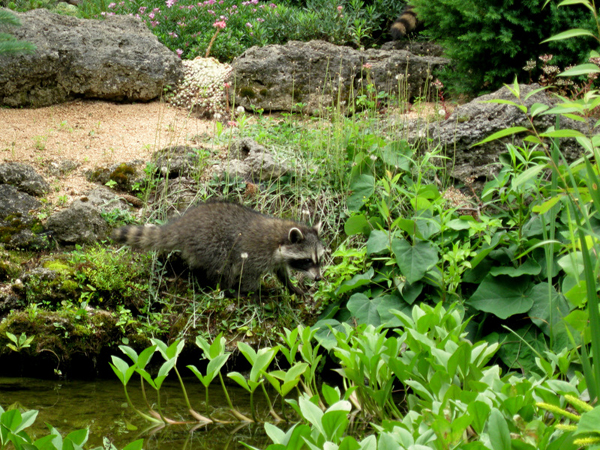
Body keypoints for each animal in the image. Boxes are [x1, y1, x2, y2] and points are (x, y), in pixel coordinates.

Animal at [112, 201, 328, 296]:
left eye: (319, 259)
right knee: (222, 267)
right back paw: (226, 289)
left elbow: (281, 272)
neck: (279, 238)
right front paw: (256, 292)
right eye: (307, 260)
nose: (319, 278)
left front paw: (291, 287)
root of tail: (184, 224)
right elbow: (249, 277)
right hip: (211, 242)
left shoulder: (278, 258)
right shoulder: (255, 254)